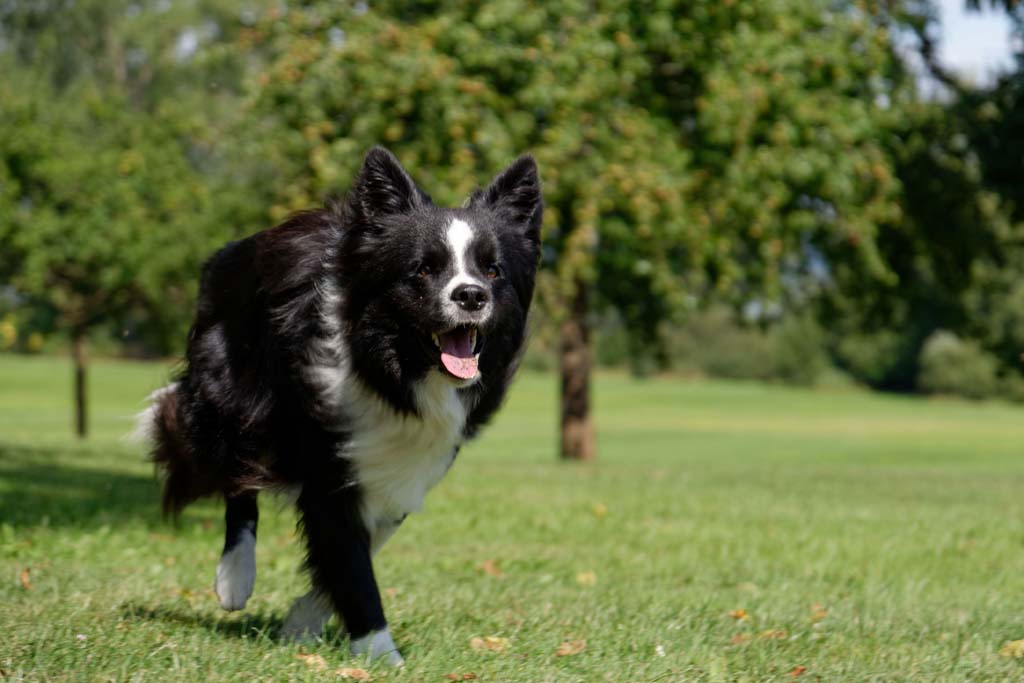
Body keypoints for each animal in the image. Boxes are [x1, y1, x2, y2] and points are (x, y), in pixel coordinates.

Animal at [140, 147, 548, 663]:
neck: (390, 370)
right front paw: (381, 653)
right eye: (423, 269)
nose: (471, 295)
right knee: (237, 474)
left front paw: (303, 619)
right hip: (231, 394)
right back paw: (234, 577)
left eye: (493, 271)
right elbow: (352, 559)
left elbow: (361, 543)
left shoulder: (408, 463)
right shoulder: (327, 456)